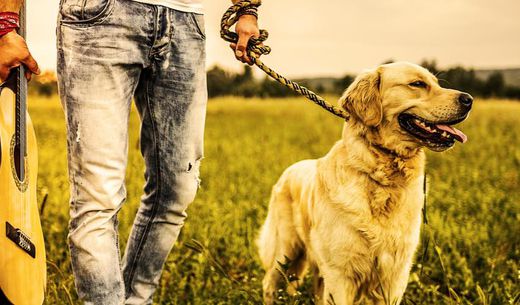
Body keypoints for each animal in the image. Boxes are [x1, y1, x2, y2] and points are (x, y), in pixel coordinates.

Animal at [256, 61, 472, 304]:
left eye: (436, 83)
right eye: (417, 84)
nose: (468, 100)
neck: (381, 177)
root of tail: (289, 170)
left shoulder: (395, 275)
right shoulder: (340, 273)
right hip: (285, 250)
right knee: (270, 283)